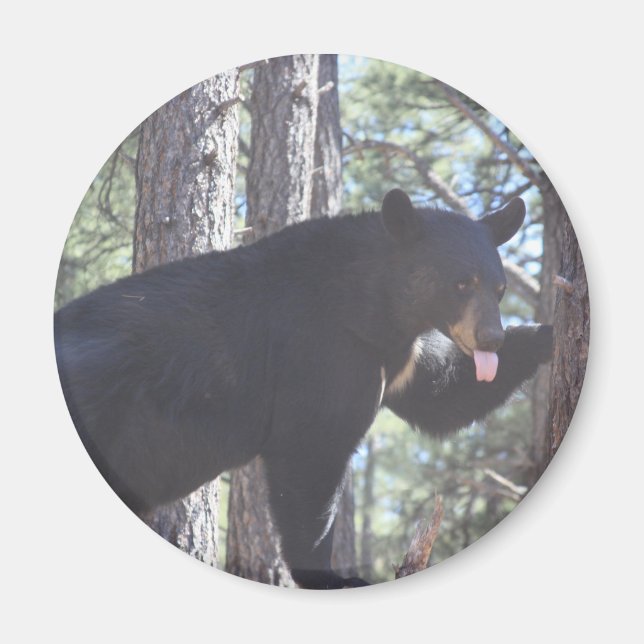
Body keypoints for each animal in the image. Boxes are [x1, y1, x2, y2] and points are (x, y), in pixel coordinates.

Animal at [54, 188, 552, 589]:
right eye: (461, 283)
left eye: (499, 288)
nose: (491, 339)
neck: (373, 306)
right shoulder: (321, 352)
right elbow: (312, 452)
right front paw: (333, 577)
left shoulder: (396, 357)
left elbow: (441, 396)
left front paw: (547, 333)